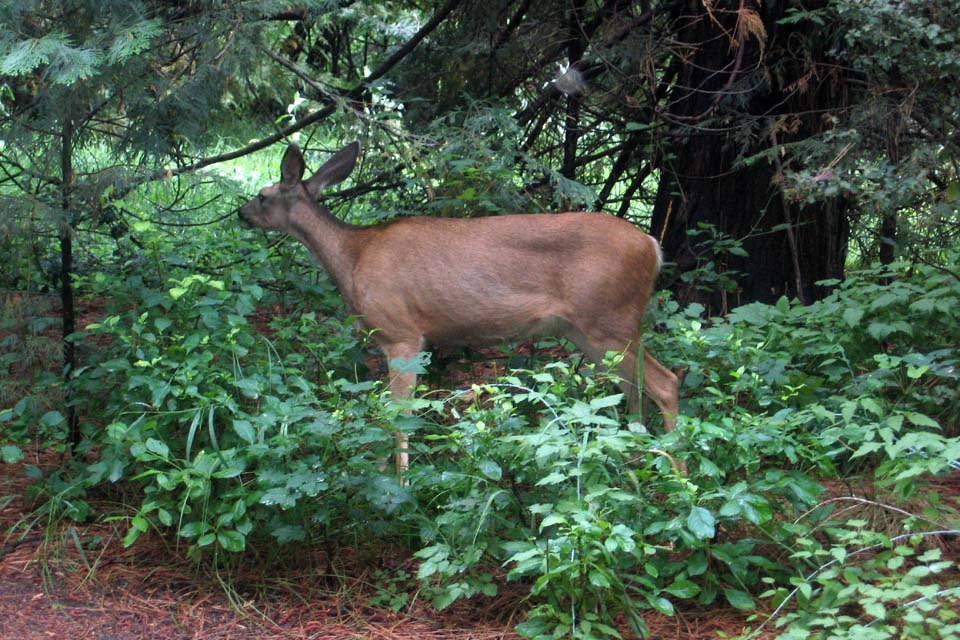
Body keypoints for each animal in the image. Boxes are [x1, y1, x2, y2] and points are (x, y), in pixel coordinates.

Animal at [238, 141, 679, 473]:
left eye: (262, 196)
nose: (241, 213)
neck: (352, 257)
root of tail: (652, 247)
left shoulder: (401, 333)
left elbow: (398, 414)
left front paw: (401, 481)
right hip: (584, 330)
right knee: (632, 387)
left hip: (610, 318)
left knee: (665, 382)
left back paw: (677, 473)